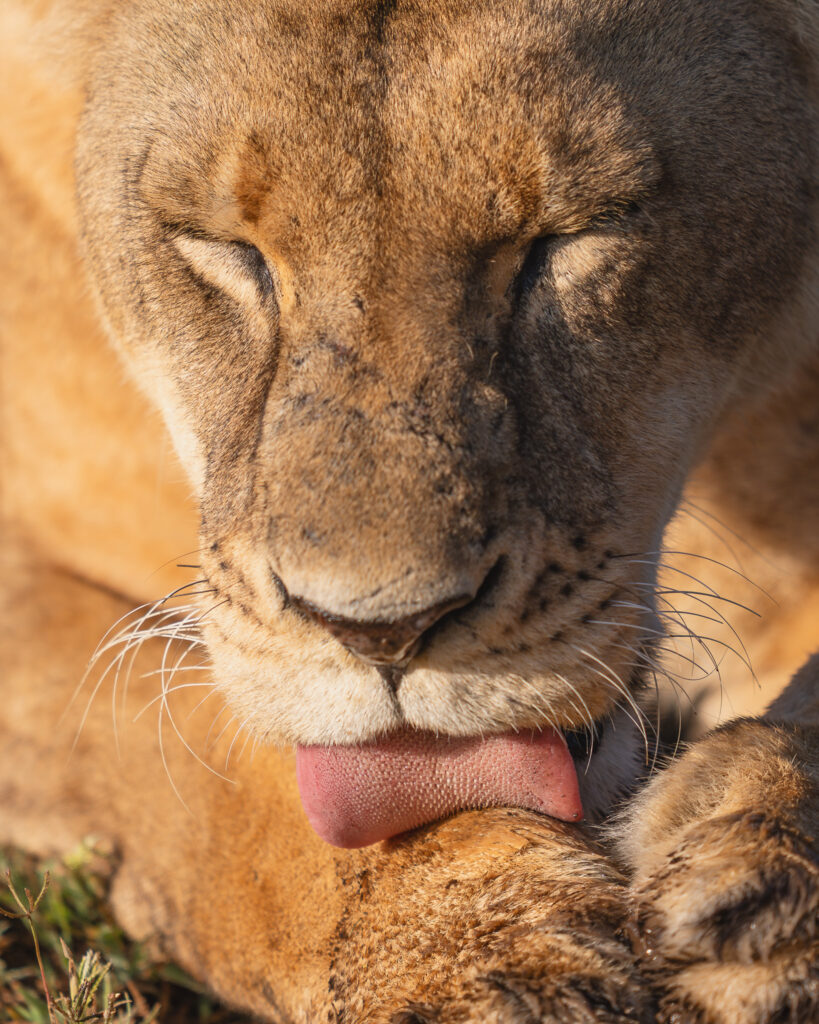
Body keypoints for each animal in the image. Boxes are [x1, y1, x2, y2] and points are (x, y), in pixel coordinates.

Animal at [1, 0, 818, 1020]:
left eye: (574, 234)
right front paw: (473, 948)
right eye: (223, 248)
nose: (383, 634)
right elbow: (218, 780)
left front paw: (764, 879)